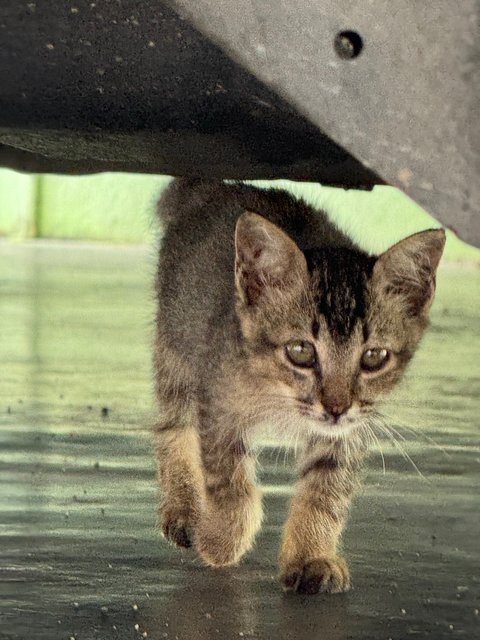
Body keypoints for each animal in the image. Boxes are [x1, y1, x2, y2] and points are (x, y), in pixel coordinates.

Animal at [154, 179, 446, 596]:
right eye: (301, 351)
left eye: (374, 356)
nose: (336, 407)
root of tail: (219, 186)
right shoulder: (218, 399)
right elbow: (228, 480)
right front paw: (221, 539)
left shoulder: (348, 431)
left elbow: (325, 492)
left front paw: (311, 555)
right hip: (176, 348)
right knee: (172, 426)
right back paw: (182, 508)